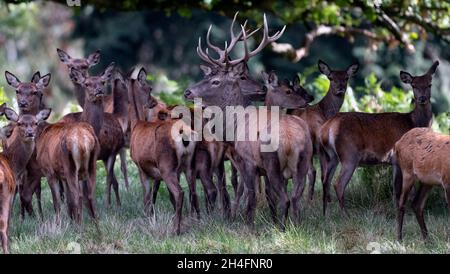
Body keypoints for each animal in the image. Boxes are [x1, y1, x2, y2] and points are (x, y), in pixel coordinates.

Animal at [0, 107, 47, 253]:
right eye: (20, 123)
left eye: (36, 123)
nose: (30, 133)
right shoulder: (10, 194)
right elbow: (8, 222)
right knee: (3, 225)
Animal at [320, 61, 440, 215]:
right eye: (414, 85)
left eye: (429, 84)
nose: (422, 98)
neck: (413, 122)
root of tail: (328, 126)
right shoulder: (400, 158)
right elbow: (403, 190)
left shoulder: (395, 162)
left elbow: (398, 190)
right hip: (349, 154)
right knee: (338, 184)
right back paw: (346, 215)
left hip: (332, 156)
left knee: (326, 181)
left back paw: (325, 214)